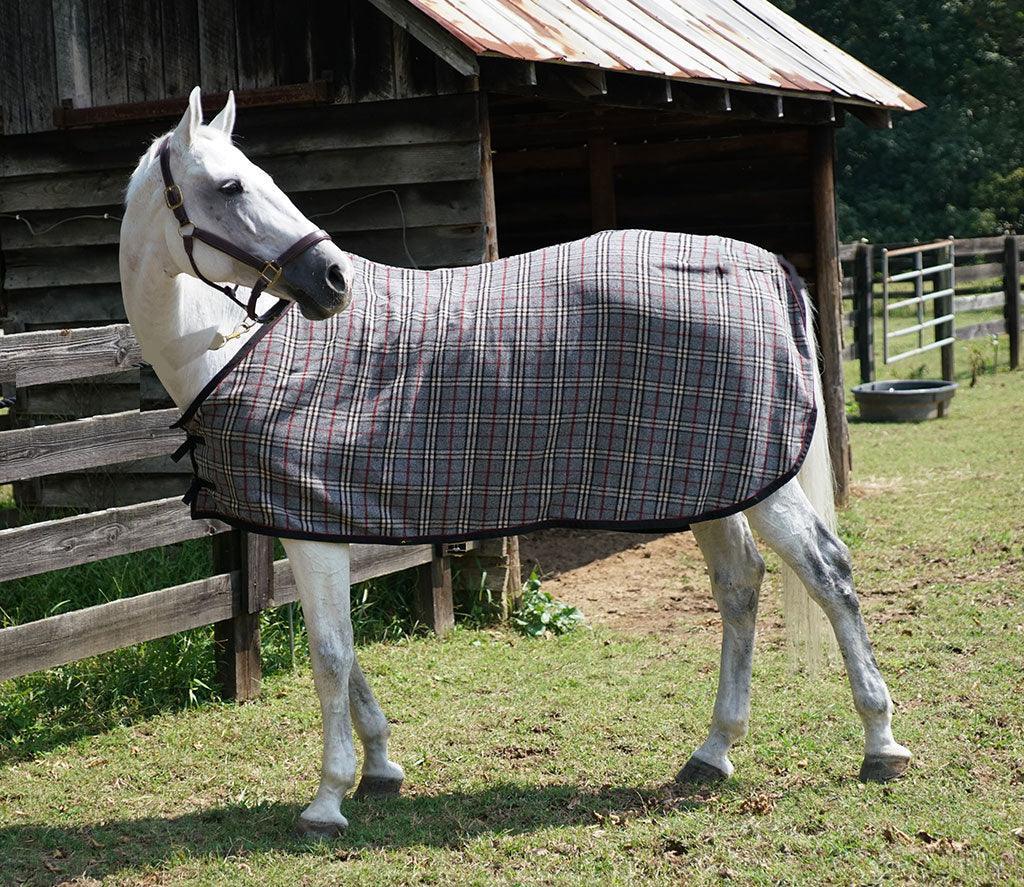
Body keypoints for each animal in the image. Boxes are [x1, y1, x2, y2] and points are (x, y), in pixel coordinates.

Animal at [119, 88, 911, 836]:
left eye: (256, 180)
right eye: (230, 187)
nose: (334, 280)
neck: (235, 353)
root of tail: (765, 267)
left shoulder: (315, 532)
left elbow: (331, 657)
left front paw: (326, 800)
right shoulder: (306, 525)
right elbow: (344, 654)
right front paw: (379, 766)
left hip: (757, 485)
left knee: (828, 573)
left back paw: (880, 743)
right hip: (711, 483)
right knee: (740, 584)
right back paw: (713, 752)